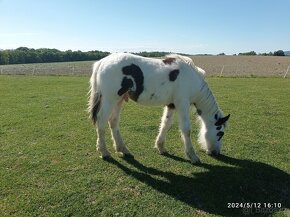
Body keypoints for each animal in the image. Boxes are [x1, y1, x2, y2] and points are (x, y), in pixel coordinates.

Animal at [87, 52, 230, 164]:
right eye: (220, 133)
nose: (215, 152)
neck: (191, 78)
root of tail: (101, 62)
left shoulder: (171, 105)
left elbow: (166, 124)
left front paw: (160, 147)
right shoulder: (182, 104)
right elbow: (186, 130)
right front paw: (193, 156)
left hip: (119, 100)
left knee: (113, 122)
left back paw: (123, 149)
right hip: (109, 99)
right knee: (101, 122)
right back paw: (104, 152)